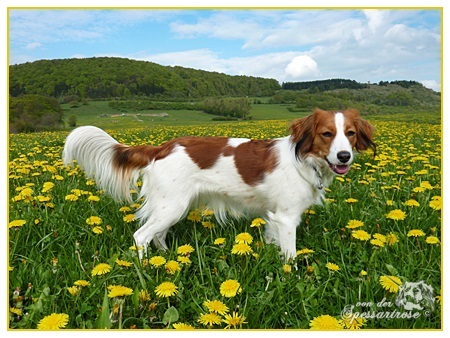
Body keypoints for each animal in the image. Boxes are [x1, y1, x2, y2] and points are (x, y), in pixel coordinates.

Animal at [61, 108, 374, 258]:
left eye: (350, 133)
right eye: (326, 134)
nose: (344, 156)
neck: (304, 160)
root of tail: (161, 147)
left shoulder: (273, 217)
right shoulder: (286, 218)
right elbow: (291, 254)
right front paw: (291, 274)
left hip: (173, 206)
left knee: (157, 235)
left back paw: (169, 259)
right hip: (172, 206)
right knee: (141, 236)